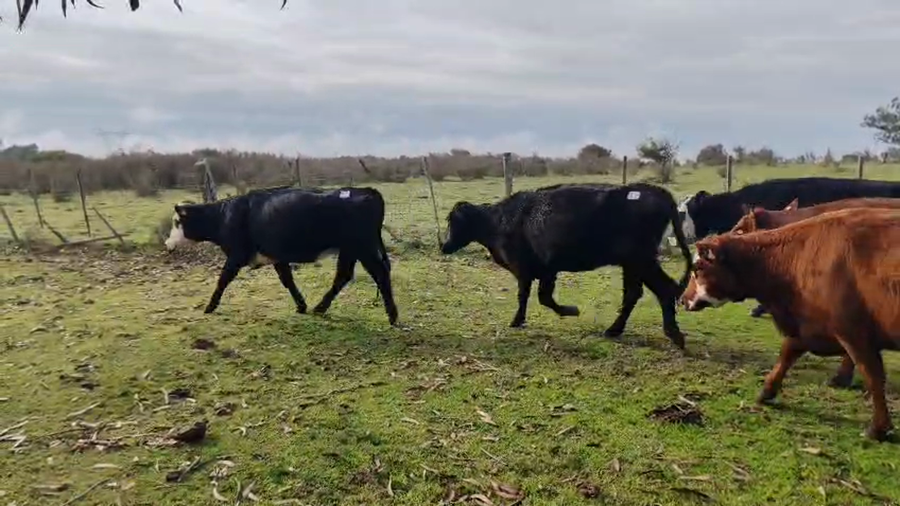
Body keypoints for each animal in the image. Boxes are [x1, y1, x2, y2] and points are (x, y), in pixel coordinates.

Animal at [164, 186, 399, 325]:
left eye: (176, 222)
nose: (167, 244)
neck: (225, 215)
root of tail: (365, 191)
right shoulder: (277, 257)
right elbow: (287, 280)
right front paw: (301, 306)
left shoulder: (236, 256)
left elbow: (223, 280)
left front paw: (209, 307)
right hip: (350, 249)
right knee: (344, 275)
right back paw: (320, 308)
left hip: (363, 247)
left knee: (379, 274)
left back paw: (393, 316)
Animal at [439, 182, 694, 349]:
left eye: (454, 222)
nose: (444, 245)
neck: (499, 220)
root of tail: (654, 191)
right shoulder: (546, 270)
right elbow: (542, 297)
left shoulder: (526, 269)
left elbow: (530, 296)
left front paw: (563, 312)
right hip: (633, 263)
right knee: (636, 292)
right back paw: (615, 330)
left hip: (640, 259)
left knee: (663, 288)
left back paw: (673, 335)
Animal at [680, 207, 900, 441]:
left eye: (697, 268)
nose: (682, 299)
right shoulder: (808, 327)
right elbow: (787, 354)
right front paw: (767, 390)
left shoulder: (854, 334)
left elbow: (873, 377)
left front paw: (878, 427)